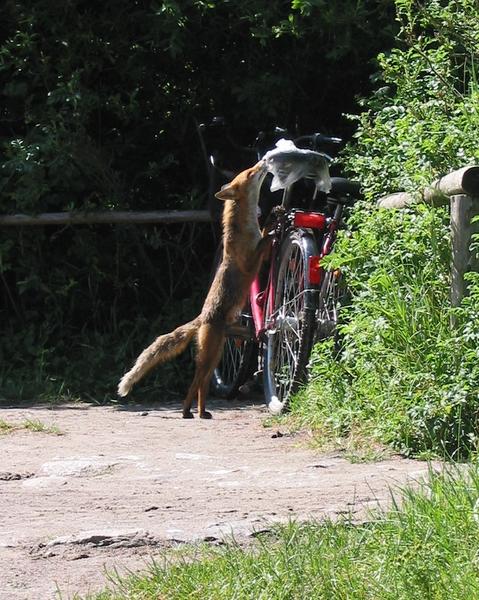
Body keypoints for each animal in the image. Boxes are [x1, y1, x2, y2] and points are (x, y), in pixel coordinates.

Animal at [118, 162, 272, 420]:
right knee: (195, 382)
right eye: (251, 173)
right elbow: (263, 242)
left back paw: (202, 412)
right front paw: (273, 226)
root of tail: (202, 318)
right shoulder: (250, 263)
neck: (247, 228)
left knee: (203, 383)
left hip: (217, 353)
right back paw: (186, 412)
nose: (264, 163)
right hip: (211, 355)